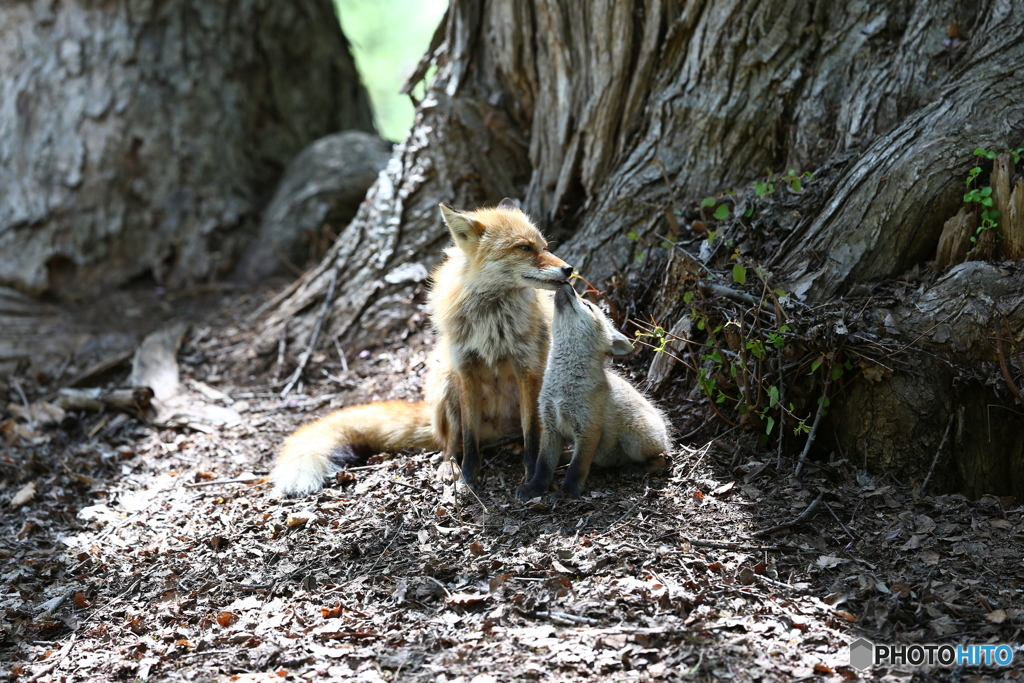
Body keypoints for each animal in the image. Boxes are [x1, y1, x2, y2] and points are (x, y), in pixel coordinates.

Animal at [274, 198, 577, 497]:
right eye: (524, 248)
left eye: (544, 246)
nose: (569, 269)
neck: (492, 321)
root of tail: (499, 432)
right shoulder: (465, 369)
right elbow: (469, 439)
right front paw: (468, 479)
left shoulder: (527, 369)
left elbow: (532, 436)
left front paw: (532, 477)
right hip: (445, 384)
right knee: (451, 443)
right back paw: (450, 466)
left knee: (525, 434)